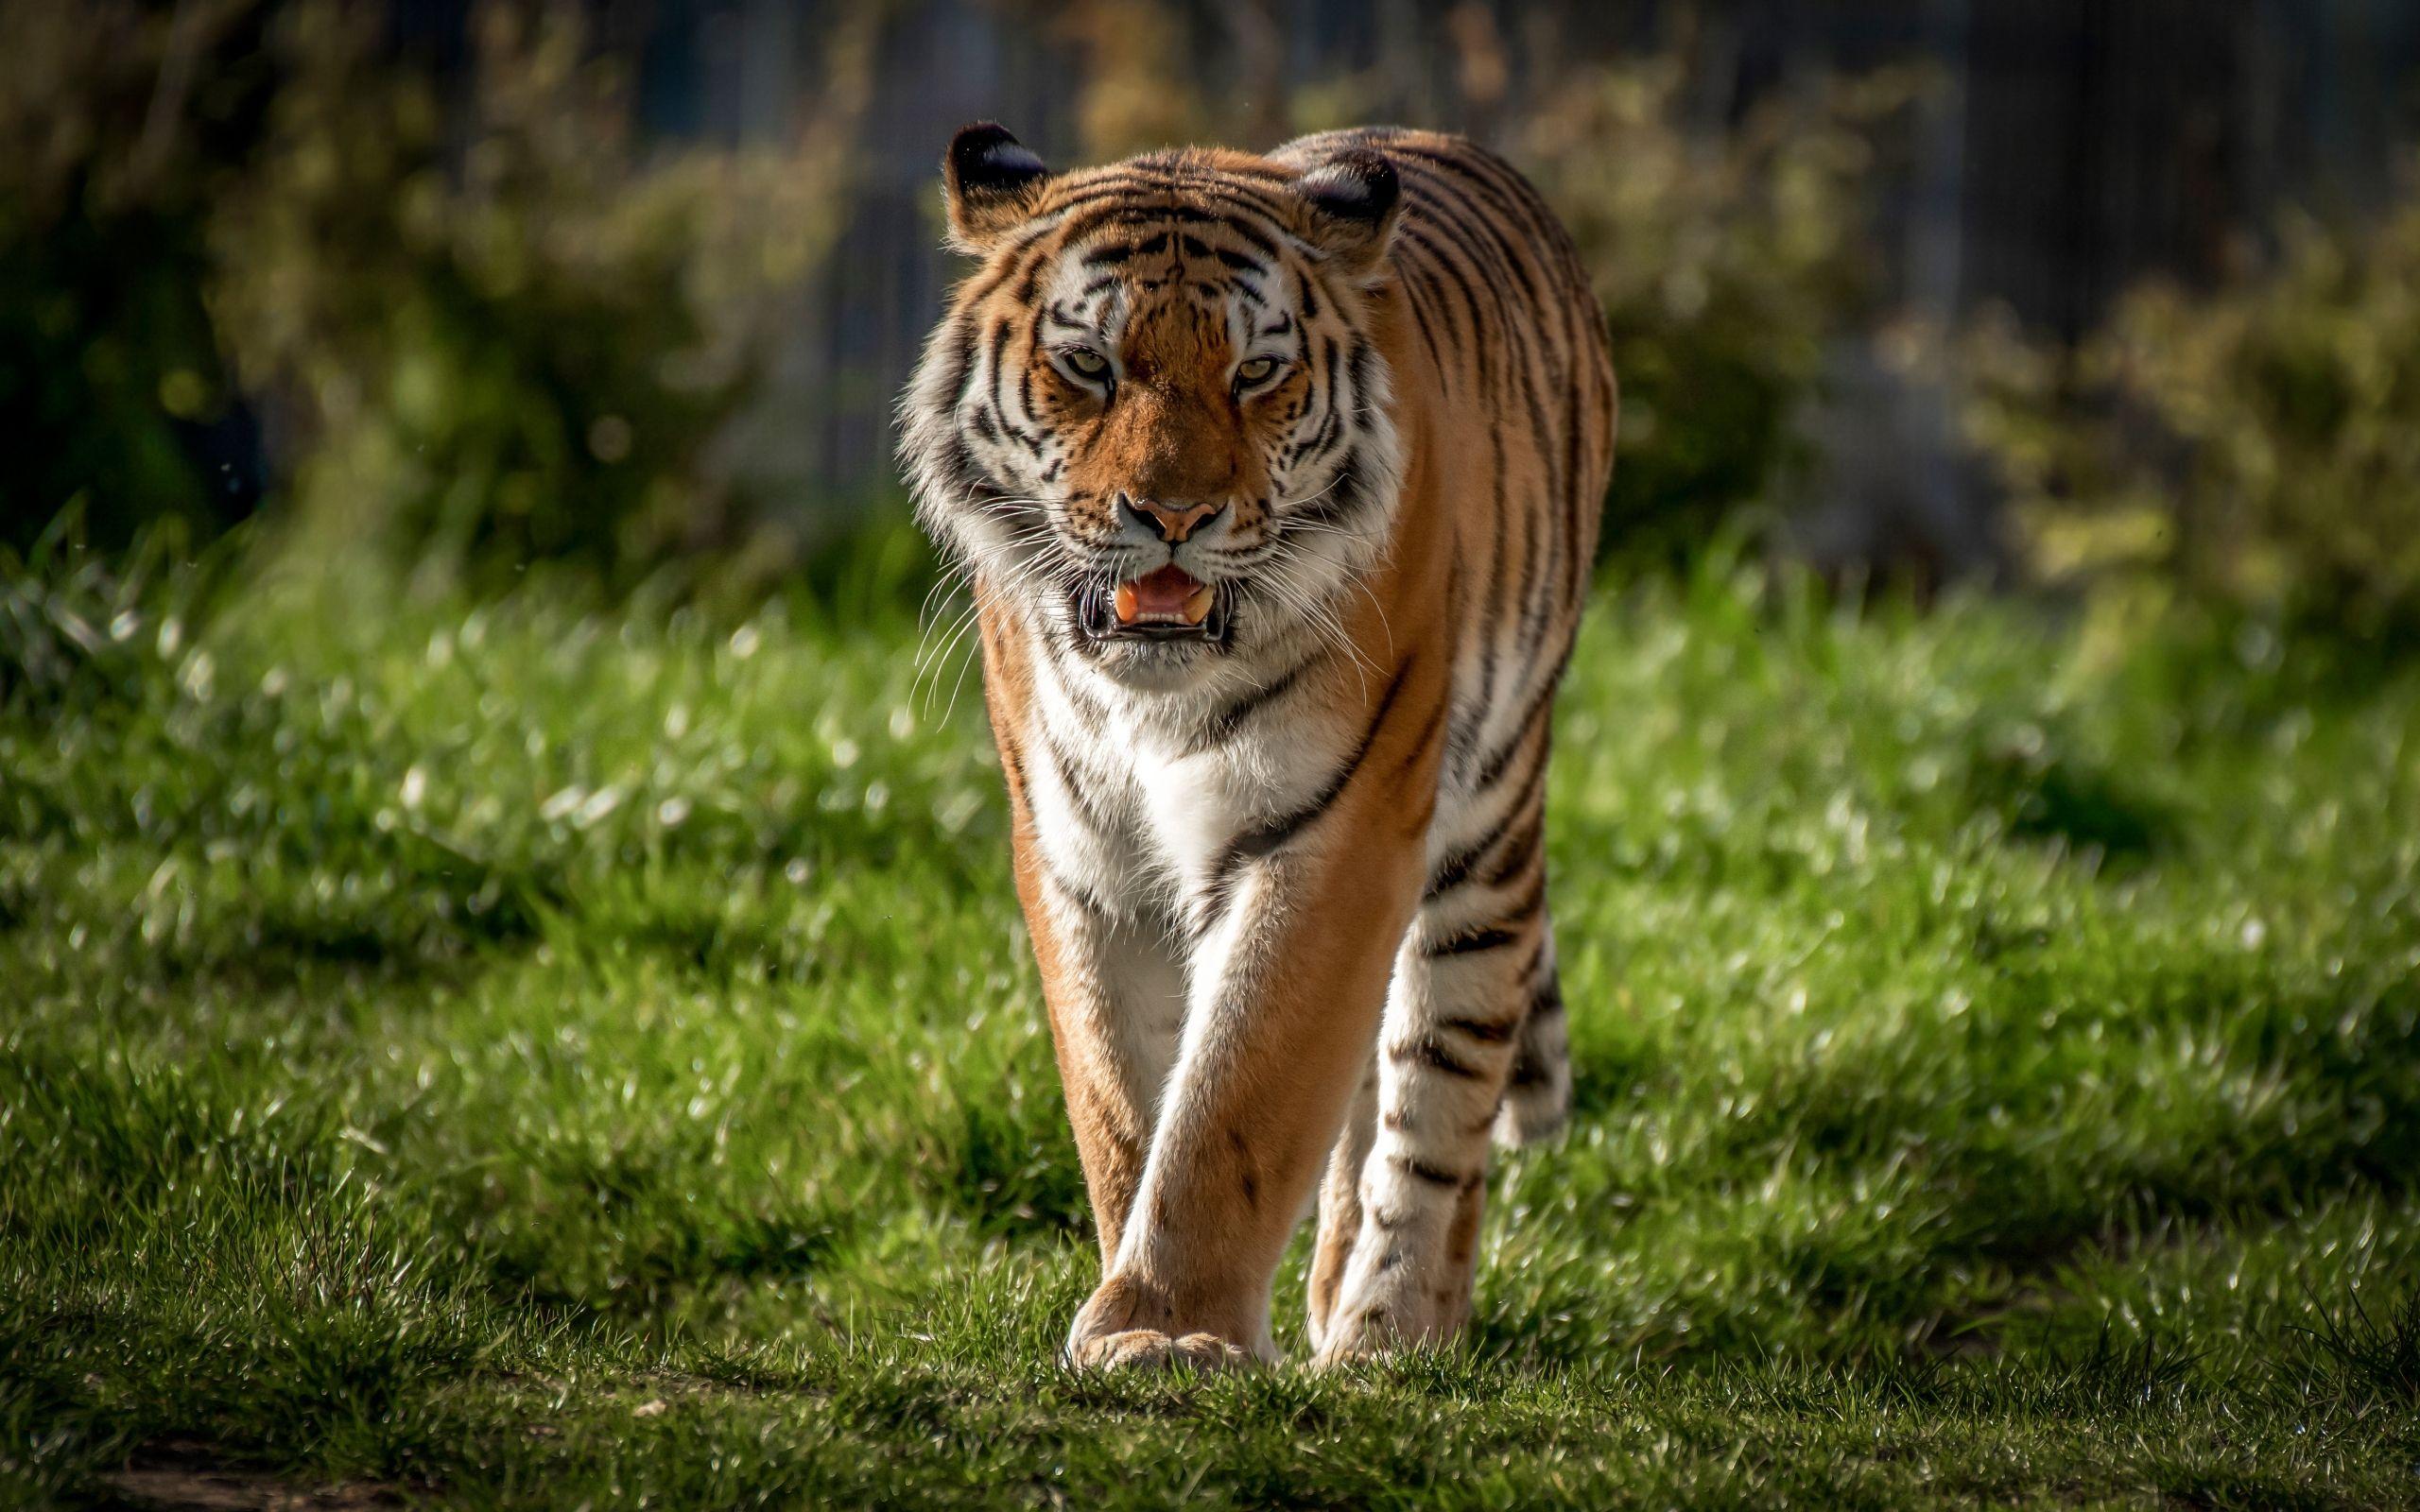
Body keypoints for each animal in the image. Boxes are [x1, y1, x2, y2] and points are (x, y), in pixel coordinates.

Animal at [898, 120, 1616, 1368]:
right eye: (1089, 365)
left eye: (1253, 374)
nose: (1171, 516)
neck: (1155, 700)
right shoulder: (1080, 855)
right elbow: (1122, 1096)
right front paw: (1138, 1309)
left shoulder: (1337, 828)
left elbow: (1241, 1091)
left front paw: (1169, 1328)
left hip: (1484, 832)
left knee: (1440, 1085)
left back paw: (1390, 1332)